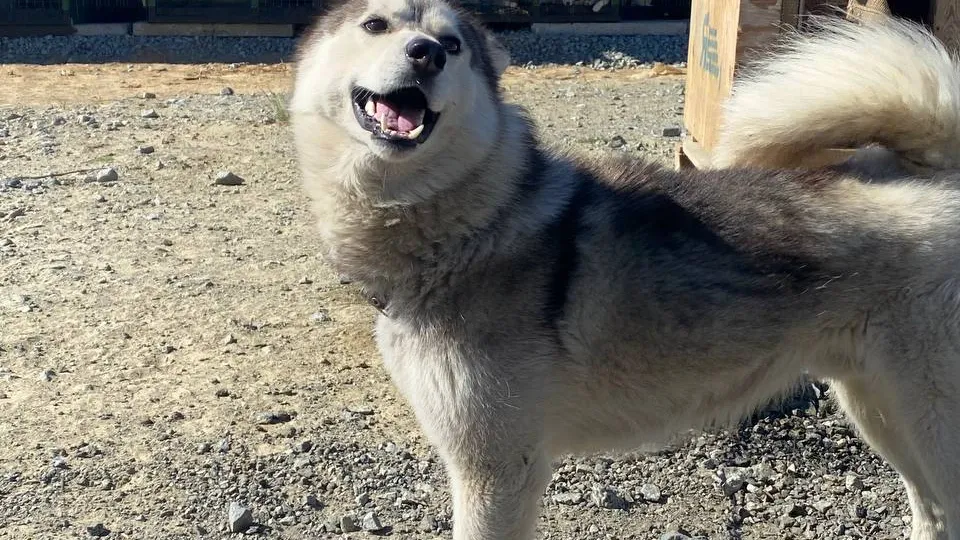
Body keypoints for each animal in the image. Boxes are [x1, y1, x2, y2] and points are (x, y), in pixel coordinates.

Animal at [288, 2, 960, 536]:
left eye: (452, 45)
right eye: (376, 24)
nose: (425, 53)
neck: (476, 224)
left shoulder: (496, 470)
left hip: (924, 415)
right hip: (878, 408)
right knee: (934, 513)